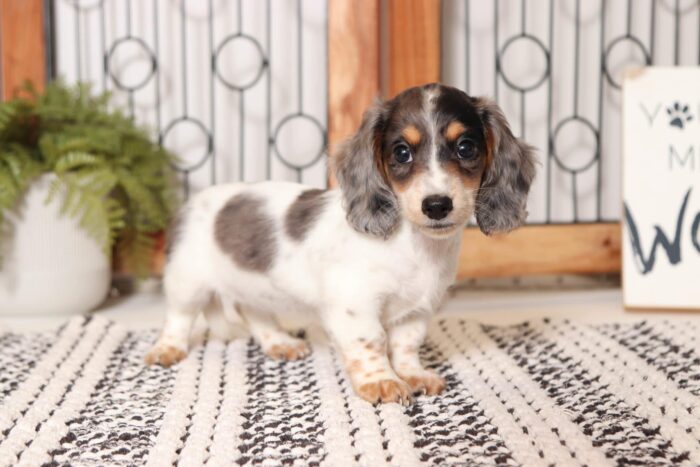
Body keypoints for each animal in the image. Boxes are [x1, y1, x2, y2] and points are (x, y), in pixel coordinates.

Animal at [145, 84, 532, 406]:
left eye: (466, 147)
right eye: (401, 152)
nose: (437, 205)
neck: (413, 247)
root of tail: (192, 203)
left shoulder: (416, 312)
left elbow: (405, 344)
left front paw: (412, 374)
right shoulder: (355, 306)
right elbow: (372, 342)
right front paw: (381, 382)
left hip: (253, 289)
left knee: (257, 315)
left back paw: (280, 343)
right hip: (188, 284)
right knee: (178, 319)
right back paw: (166, 349)